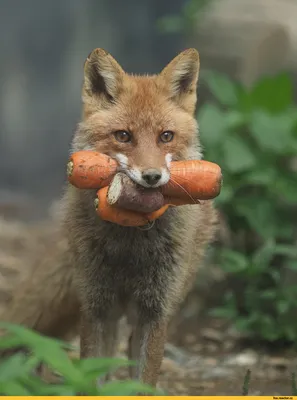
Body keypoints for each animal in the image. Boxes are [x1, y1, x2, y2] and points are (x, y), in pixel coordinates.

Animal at [0, 48, 217, 390]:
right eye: (123, 136)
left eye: (166, 136)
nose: (152, 177)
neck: (131, 238)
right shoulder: (97, 305)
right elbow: (90, 377)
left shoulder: (154, 311)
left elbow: (143, 383)